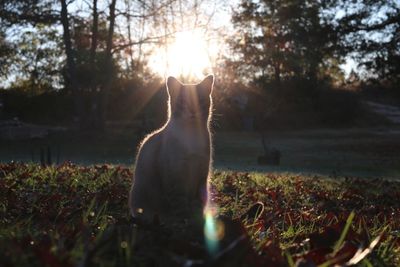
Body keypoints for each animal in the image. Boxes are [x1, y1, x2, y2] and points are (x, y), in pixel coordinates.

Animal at [130, 75, 214, 224]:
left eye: (200, 101)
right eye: (183, 102)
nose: (193, 111)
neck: (191, 135)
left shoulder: (201, 176)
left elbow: (197, 204)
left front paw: (197, 221)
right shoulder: (176, 177)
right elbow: (179, 205)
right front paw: (184, 222)